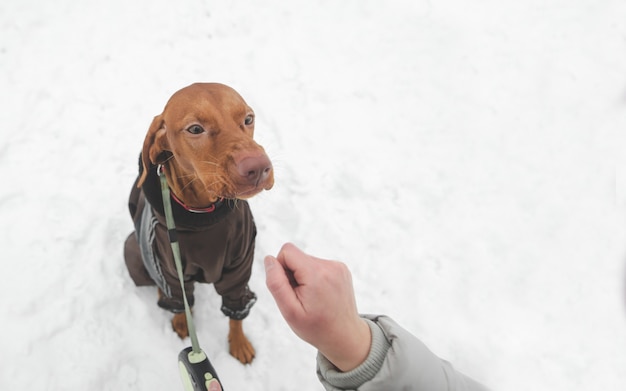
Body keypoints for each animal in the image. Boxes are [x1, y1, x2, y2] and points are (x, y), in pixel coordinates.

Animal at [124, 82, 272, 364]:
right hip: (133, 252)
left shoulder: (239, 268)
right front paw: (182, 323)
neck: (202, 215)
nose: (258, 168)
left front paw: (239, 342)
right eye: (195, 129)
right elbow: (181, 301)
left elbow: (236, 312)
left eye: (248, 119)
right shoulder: (170, 270)